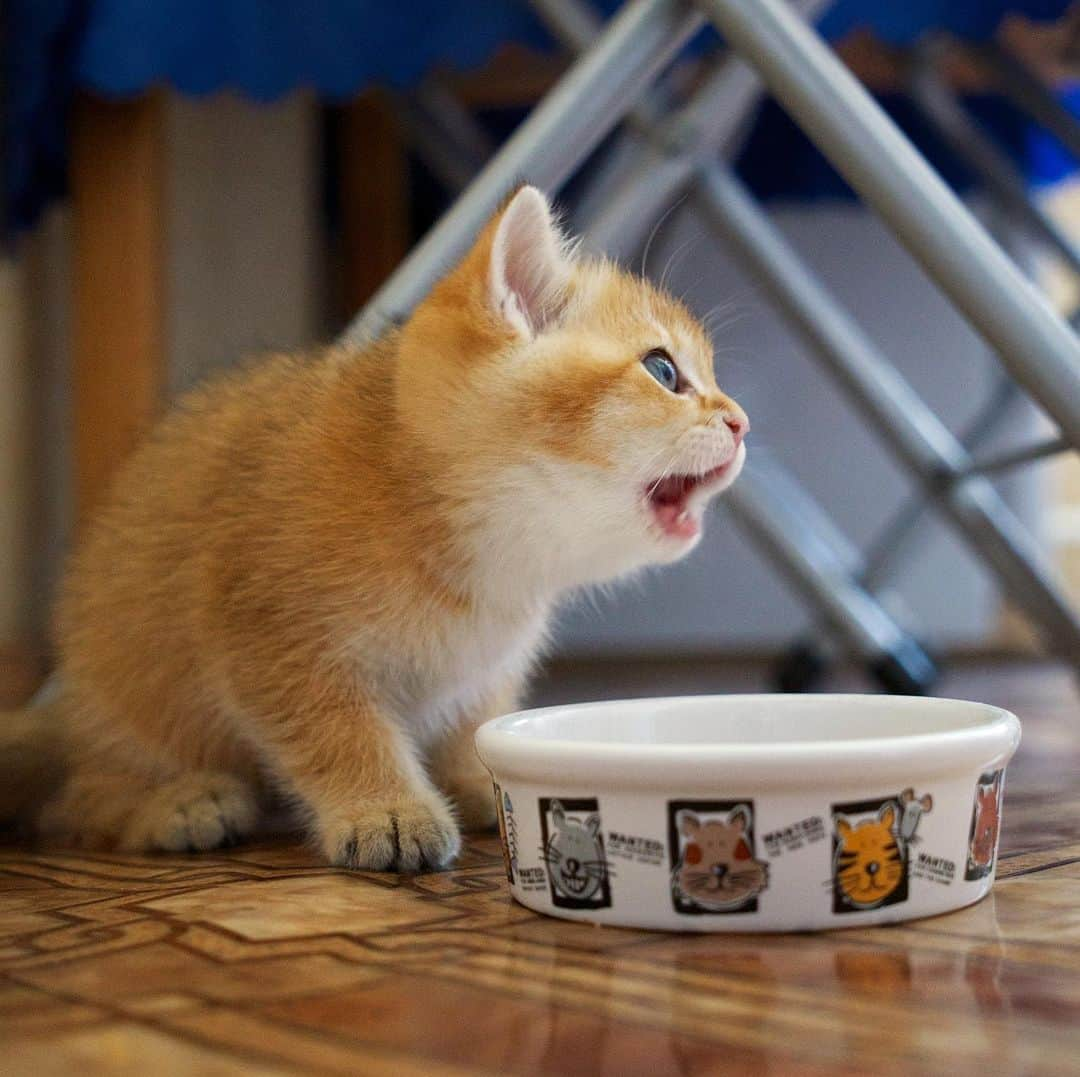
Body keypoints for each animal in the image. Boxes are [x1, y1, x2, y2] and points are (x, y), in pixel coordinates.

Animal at [4, 189, 747, 868]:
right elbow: (340, 731)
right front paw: (386, 808)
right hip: (132, 694)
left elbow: (469, 726)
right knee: (72, 799)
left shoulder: (482, 674)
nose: (740, 422)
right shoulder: (268, 638)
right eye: (662, 370)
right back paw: (174, 802)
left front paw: (474, 781)